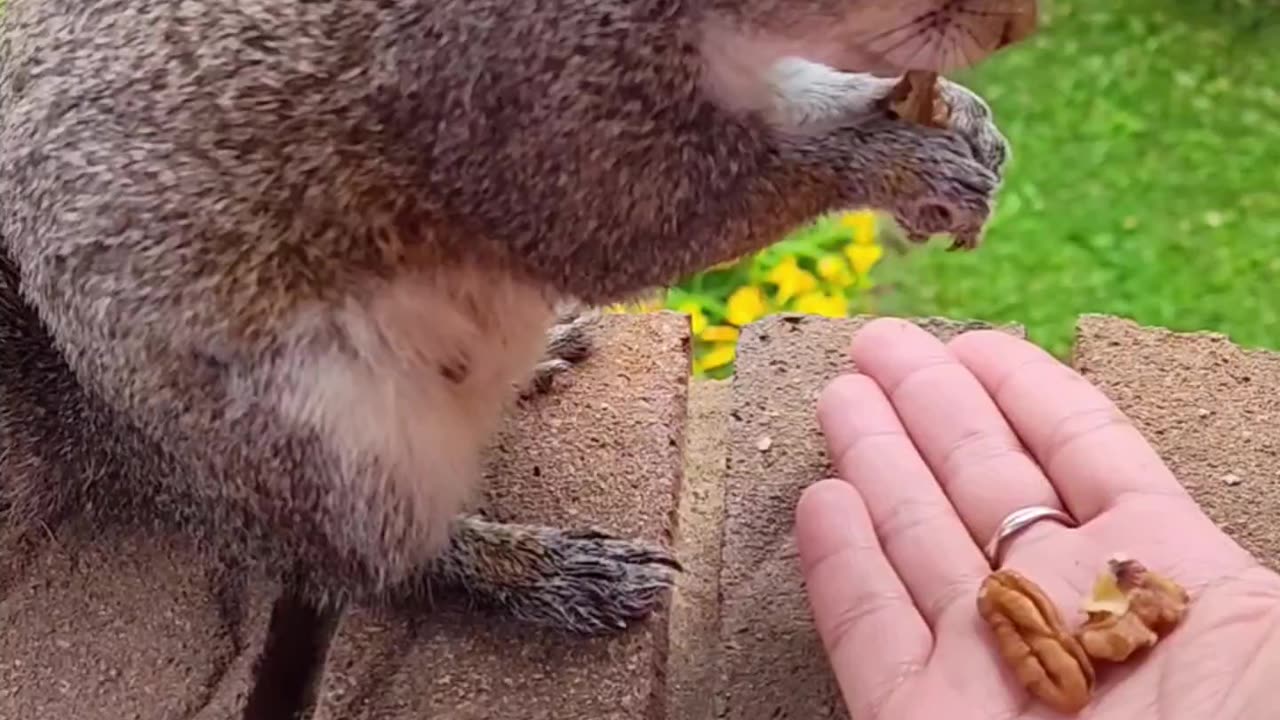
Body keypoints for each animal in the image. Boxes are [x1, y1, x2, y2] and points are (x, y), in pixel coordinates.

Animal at [0, 0, 1031, 717]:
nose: (1012, 29)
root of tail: (123, 431)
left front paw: (953, 120)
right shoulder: (513, 100)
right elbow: (635, 217)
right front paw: (893, 158)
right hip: (329, 447)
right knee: (369, 564)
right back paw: (532, 572)